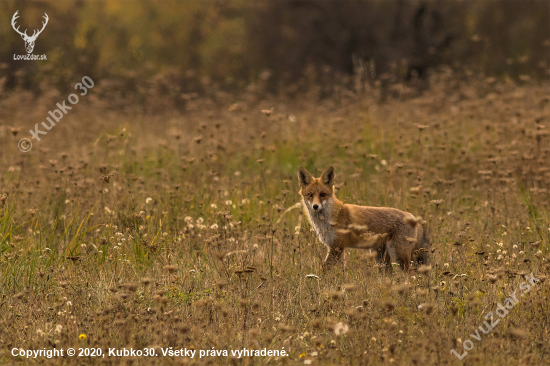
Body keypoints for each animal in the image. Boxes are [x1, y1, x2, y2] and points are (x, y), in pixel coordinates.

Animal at [298, 165, 432, 268]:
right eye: (310, 195)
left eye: (322, 194)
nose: (315, 206)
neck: (328, 219)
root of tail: (413, 216)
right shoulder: (338, 247)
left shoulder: (336, 247)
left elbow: (324, 269)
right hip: (381, 256)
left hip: (399, 255)